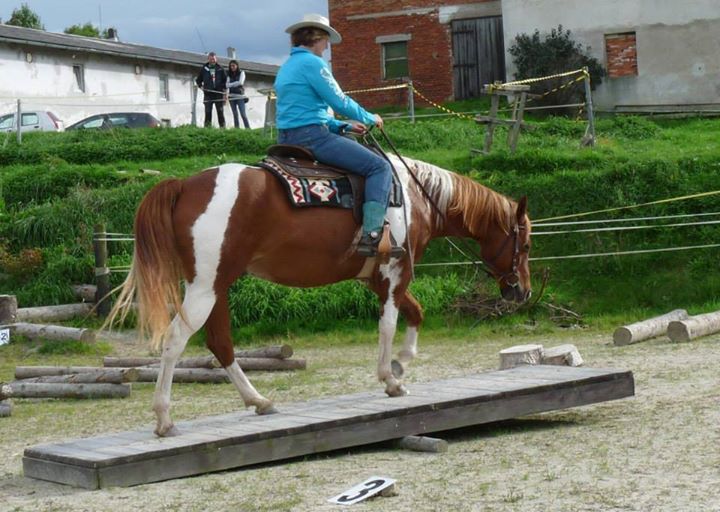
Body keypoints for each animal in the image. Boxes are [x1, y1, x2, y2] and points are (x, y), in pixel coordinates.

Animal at [109, 155, 532, 436]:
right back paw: (164, 418)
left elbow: (415, 314)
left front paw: (399, 365)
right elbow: (390, 324)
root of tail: (184, 185)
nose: (522, 291)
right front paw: (391, 377)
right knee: (175, 341)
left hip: (215, 285)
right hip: (204, 287)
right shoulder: (395, 274)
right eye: (525, 243)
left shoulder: (378, 279)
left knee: (220, 343)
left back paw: (258, 401)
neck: (417, 197)